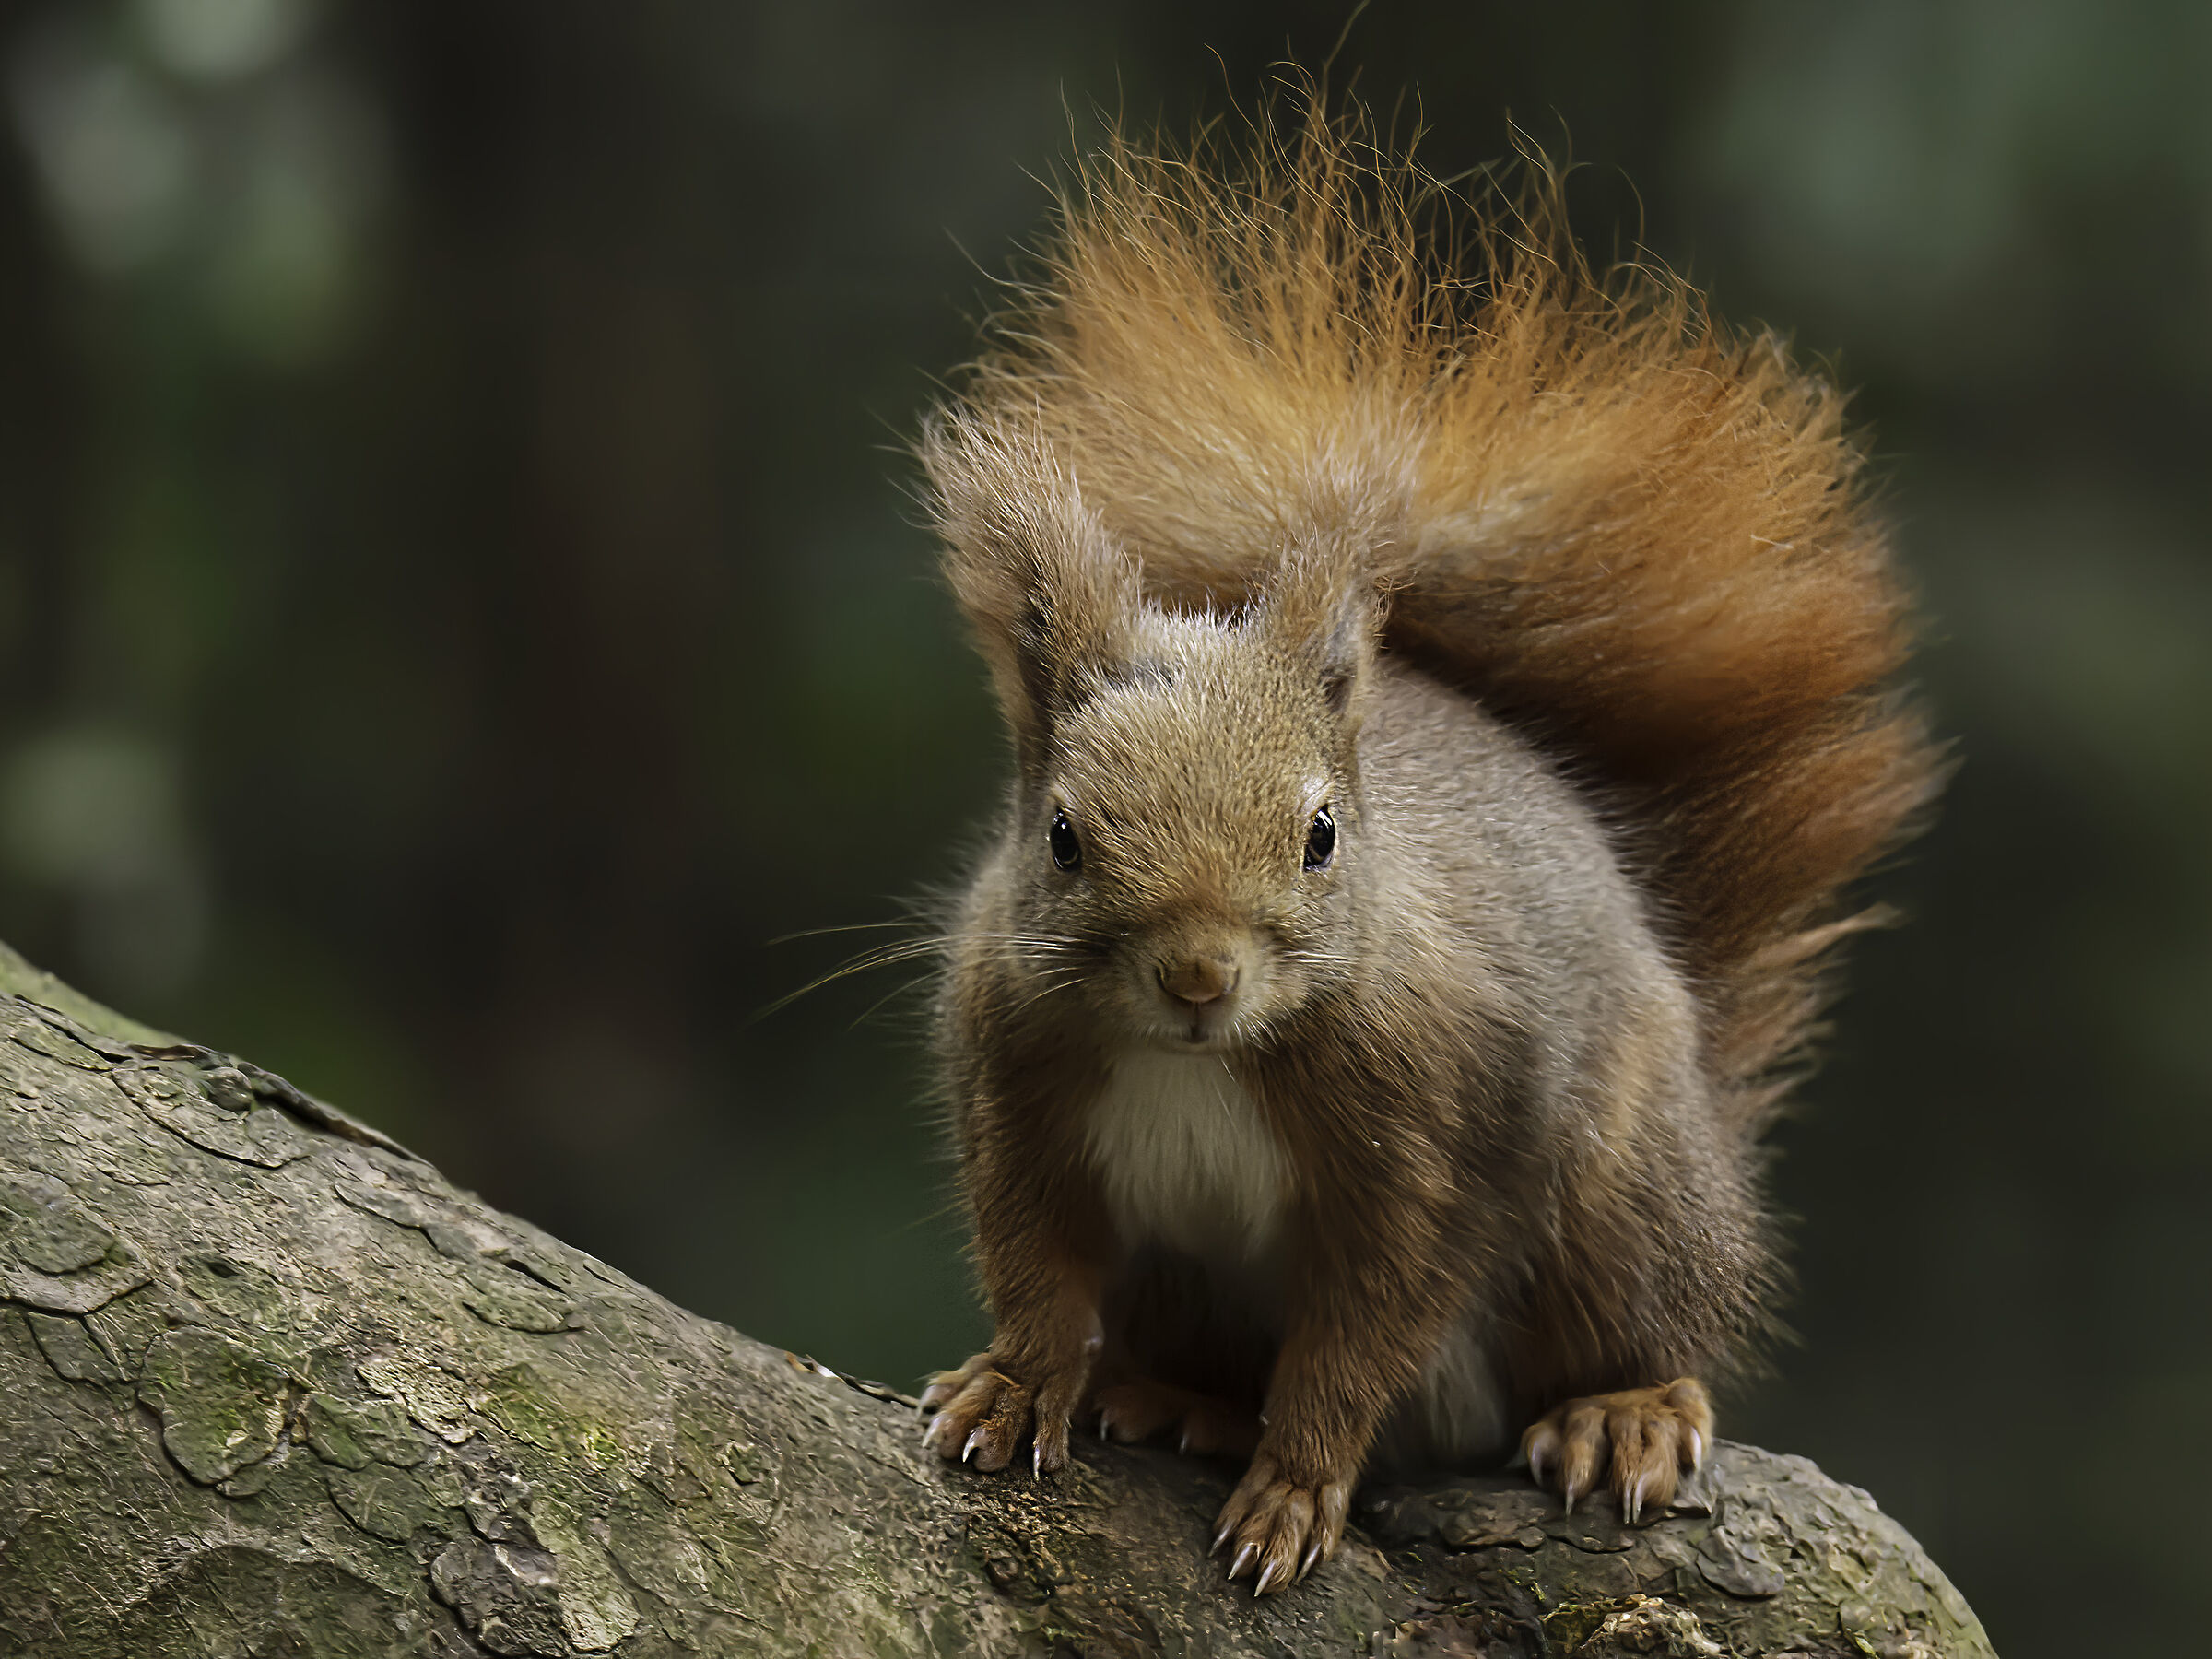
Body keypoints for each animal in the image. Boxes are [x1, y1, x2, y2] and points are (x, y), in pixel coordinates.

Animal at [910, 103, 1936, 1595]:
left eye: (1323, 834)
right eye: (1059, 836)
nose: (1199, 977)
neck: (1204, 1061)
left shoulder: (1435, 1142)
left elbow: (1360, 1339)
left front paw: (1294, 1491)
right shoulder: (1016, 1090)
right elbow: (1039, 1270)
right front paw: (1012, 1386)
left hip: (1616, 1201)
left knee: (1641, 1329)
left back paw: (1624, 1411)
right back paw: (1181, 1400)